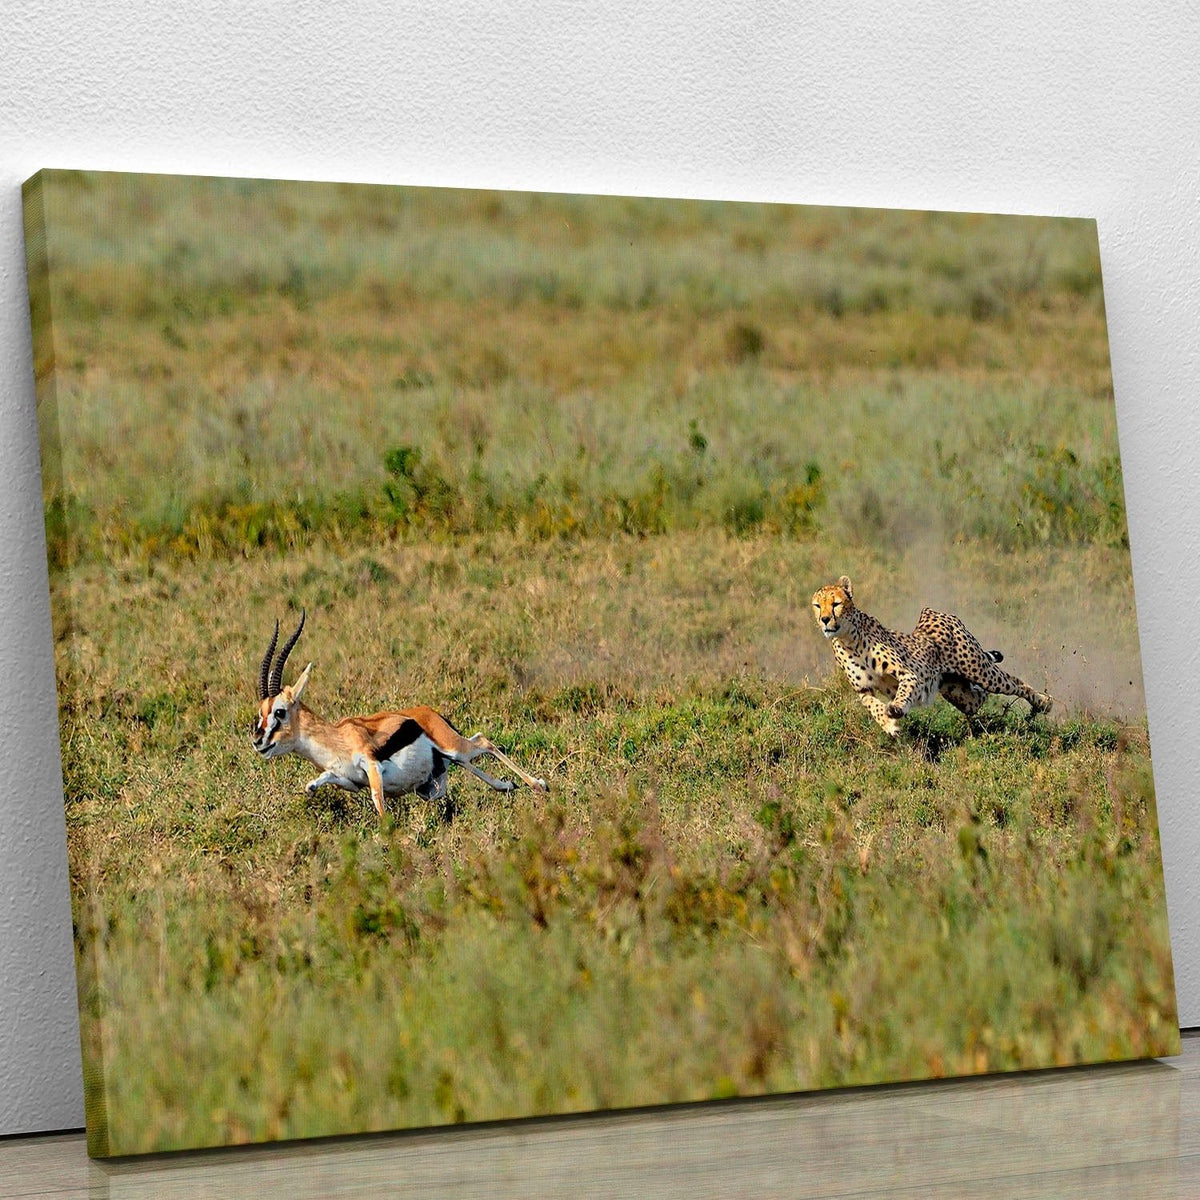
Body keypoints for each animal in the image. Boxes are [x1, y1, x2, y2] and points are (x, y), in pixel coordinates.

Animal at [810, 575, 1053, 736]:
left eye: (836, 604)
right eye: (817, 605)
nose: (824, 619)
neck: (848, 639)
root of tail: (935, 612)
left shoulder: (908, 674)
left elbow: (902, 693)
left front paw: (896, 708)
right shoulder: (863, 690)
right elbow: (874, 708)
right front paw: (889, 724)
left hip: (979, 670)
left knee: (1014, 682)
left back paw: (1044, 702)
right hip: (960, 694)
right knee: (980, 696)